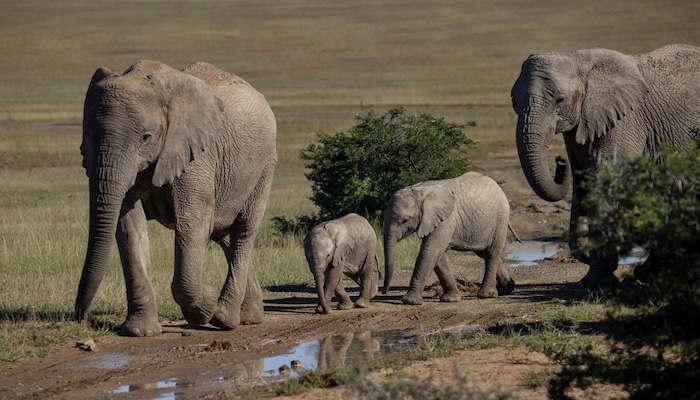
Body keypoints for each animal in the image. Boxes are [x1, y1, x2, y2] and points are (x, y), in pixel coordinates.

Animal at [75, 59, 277, 336]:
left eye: (146, 137)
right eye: (87, 134)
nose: (80, 318)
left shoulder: (196, 155)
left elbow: (192, 223)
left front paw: (205, 308)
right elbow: (129, 227)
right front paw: (140, 332)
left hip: (265, 164)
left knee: (244, 230)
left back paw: (224, 318)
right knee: (223, 232)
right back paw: (248, 316)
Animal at [382, 171, 518, 305]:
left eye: (405, 220)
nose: (384, 292)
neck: (420, 192)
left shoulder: (446, 220)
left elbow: (431, 250)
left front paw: (410, 301)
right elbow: (439, 255)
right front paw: (451, 299)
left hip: (500, 217)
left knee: (492, 251)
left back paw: (486, 295)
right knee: (483, 252)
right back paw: (506, 289)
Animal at [511, 43, 700, 287]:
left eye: (560, 100)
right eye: (514, 100)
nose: (560, 160)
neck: (579, 60)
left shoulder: (626, 120)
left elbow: (604, 183)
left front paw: (596, 283)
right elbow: (583, 182)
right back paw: (649, 273)